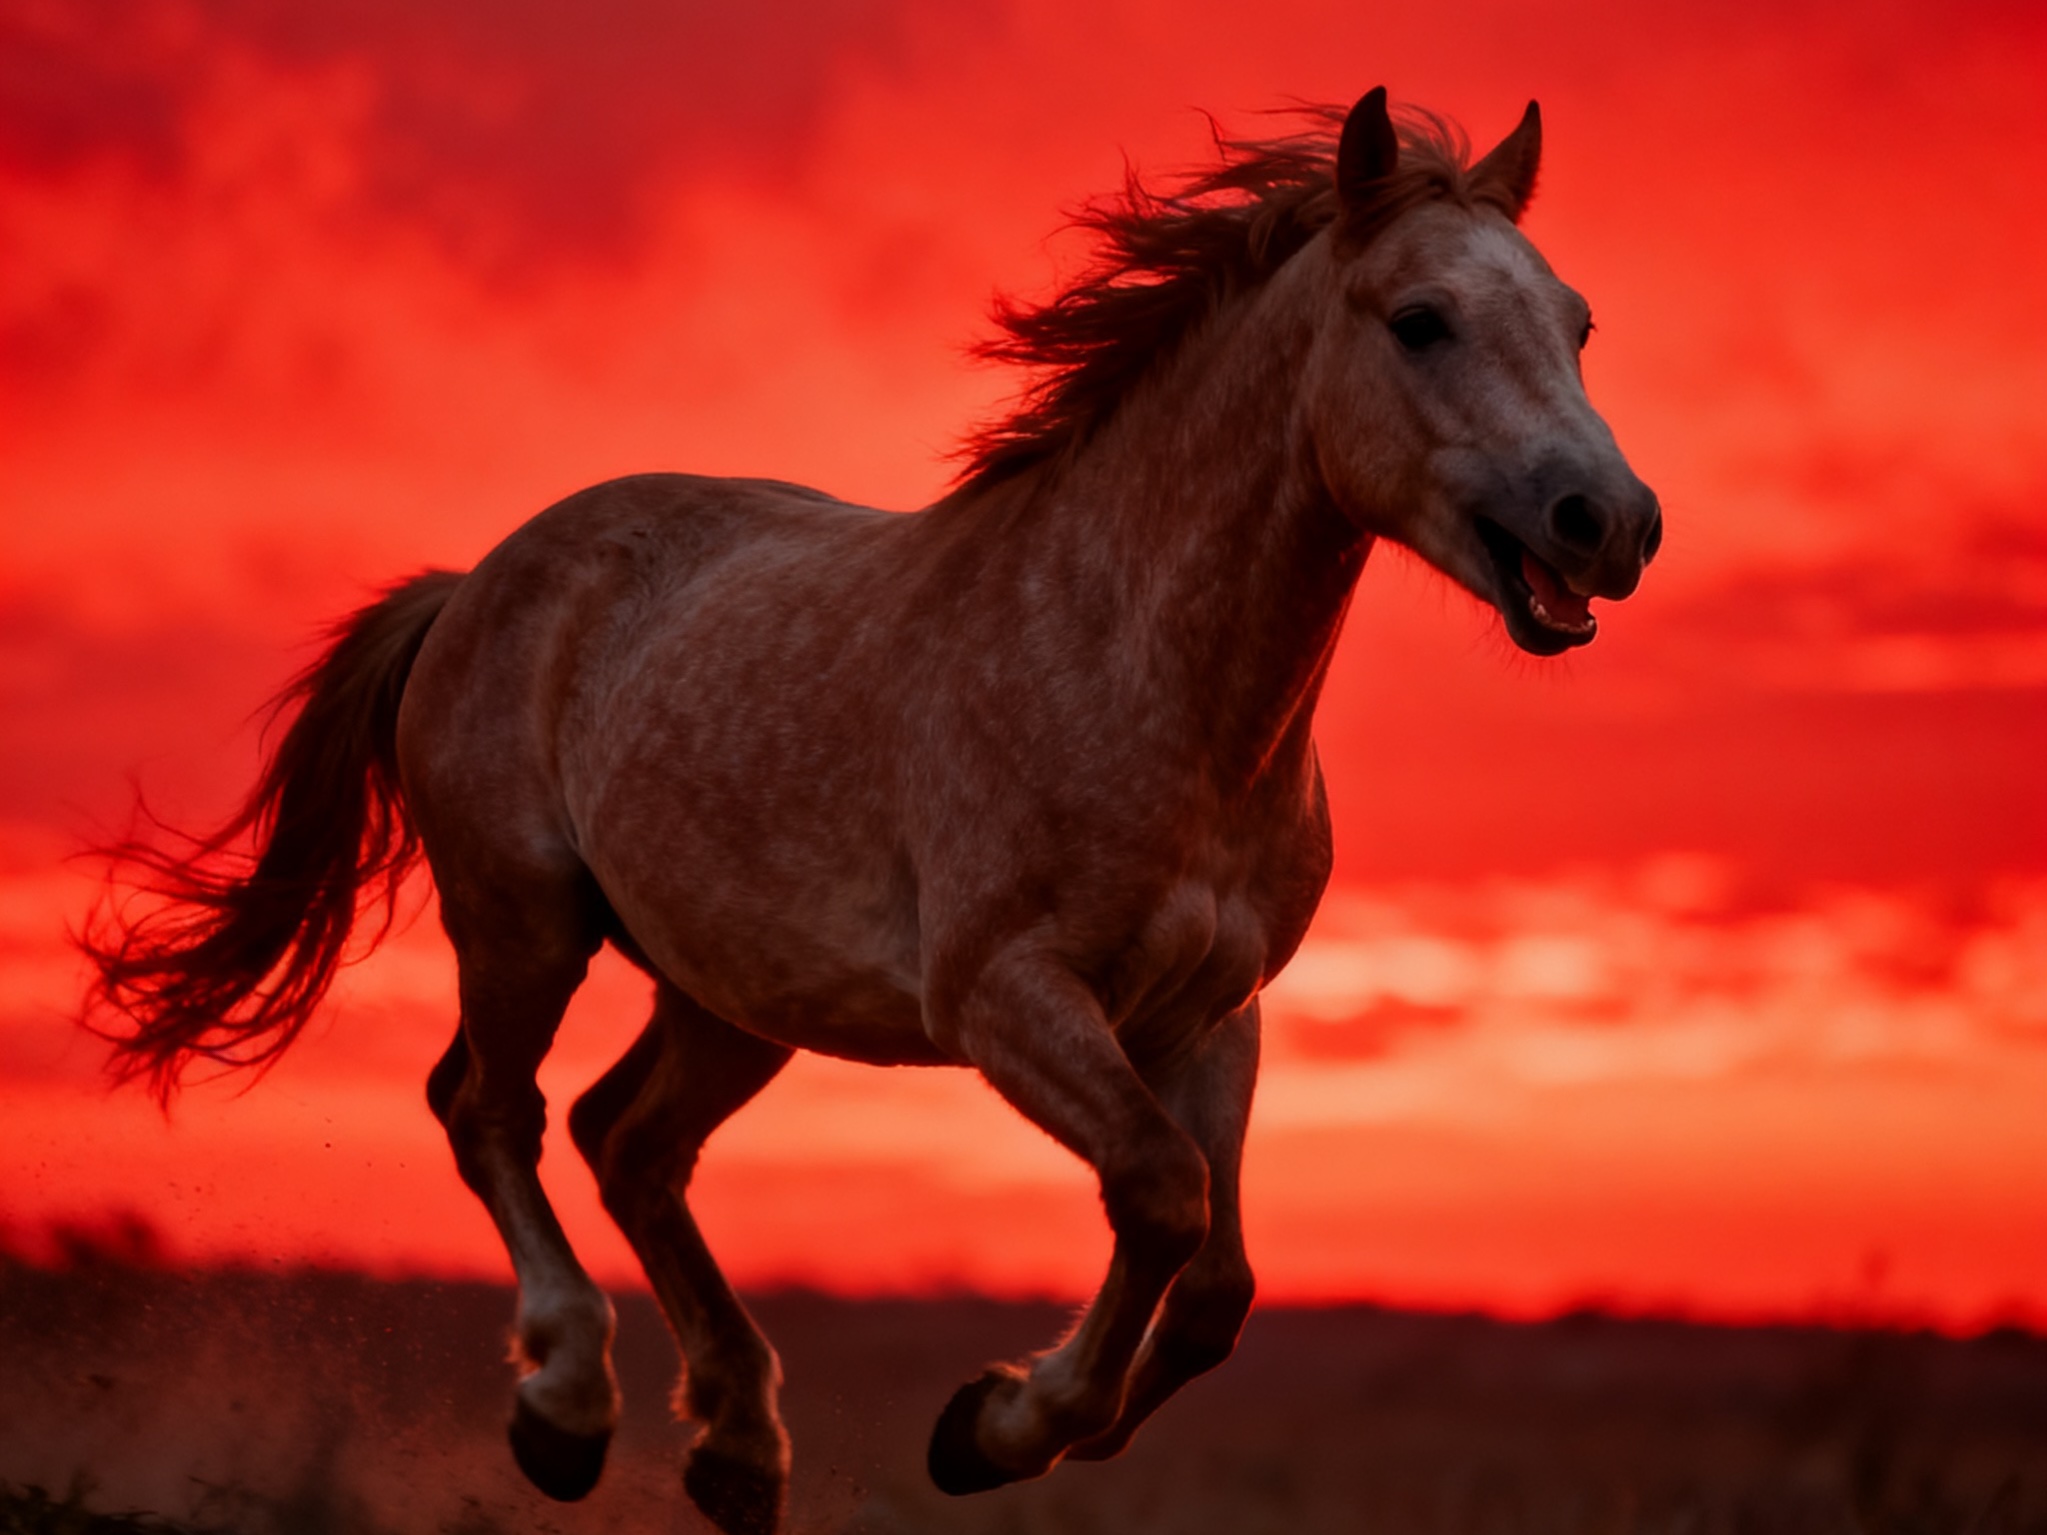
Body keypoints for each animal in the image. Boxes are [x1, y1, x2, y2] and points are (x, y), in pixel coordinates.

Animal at [83, 87, 1659, 1535]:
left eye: (1578, 323)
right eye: (1419, 321)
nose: (1610, 523)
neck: (1135, 663)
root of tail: (472, 580)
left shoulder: (1211, 1013)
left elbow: (1216, 1281)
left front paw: (1009, 1420)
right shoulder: (1005, 994)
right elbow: (1157, 1189)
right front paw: (997, 1423)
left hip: (732, 992)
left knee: (625, 1140)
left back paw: (736, 1449)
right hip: (522, 919)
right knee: (492, 1106)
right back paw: (567, 1407)